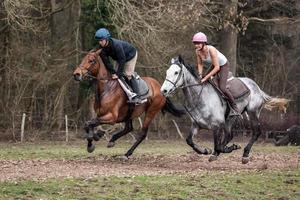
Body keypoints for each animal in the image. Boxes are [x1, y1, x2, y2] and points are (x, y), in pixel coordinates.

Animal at [161, 55, 290, 163]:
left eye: (176, 72)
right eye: (167, 72)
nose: (164, 90)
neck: (201, 97)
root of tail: (256, 86)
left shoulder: (217, 126)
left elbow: (217, 146)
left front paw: (231, 148)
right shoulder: (196, 125)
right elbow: (190, 141)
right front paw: (206, 151)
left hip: (252, 112)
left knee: (256, 132)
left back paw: (245, 154)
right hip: (230, 119)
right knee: (229, 135)